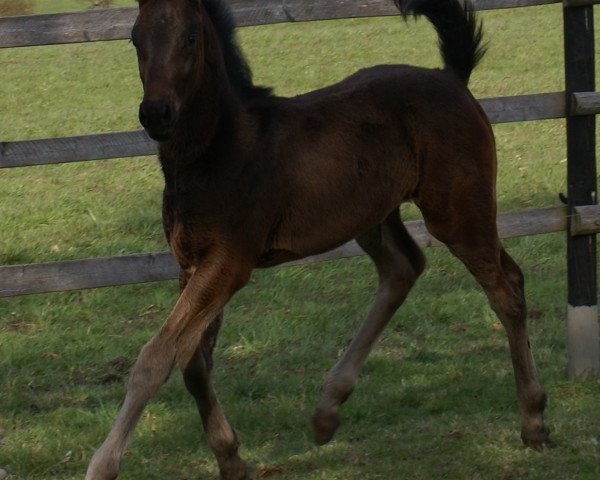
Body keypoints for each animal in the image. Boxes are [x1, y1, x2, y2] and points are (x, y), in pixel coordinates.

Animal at [84, 0, 548, 478]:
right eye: (135, 37)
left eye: (190, 37)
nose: (155, 113)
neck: (218, 151)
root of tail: (452, 77)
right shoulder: (190, 263)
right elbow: (193, 362)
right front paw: (230, 457)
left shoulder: (229, 263)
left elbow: (157, 357)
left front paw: (102, 464)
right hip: (371, 216)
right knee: (406, 268)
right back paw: (327, 411)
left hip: (457, 214)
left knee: (506, 291)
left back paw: (533, 421)